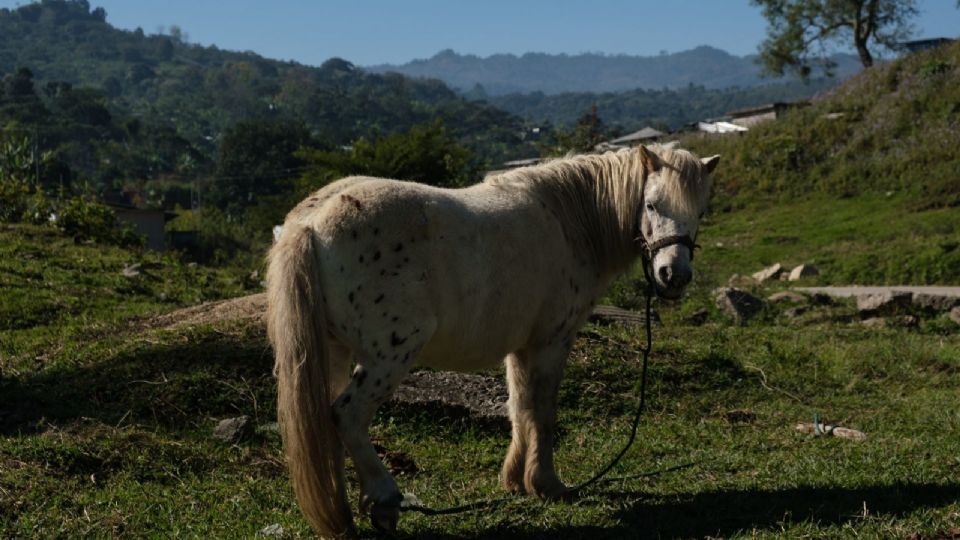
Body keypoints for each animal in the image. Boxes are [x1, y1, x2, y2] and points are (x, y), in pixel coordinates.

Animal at [266, 143, 716, 536]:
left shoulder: (520, 347)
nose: (673, 276)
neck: (569, 219)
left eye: (700, 211)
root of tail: (311, 223)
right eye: (652, 204)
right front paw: (547, 484)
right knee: (347, 415)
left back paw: (343, 511)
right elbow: (543, 411)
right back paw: (384, 500)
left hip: (334, 353)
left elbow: (519, 408)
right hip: (387, 357)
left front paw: (516, 480)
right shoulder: (551, 342)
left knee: (327, 427)